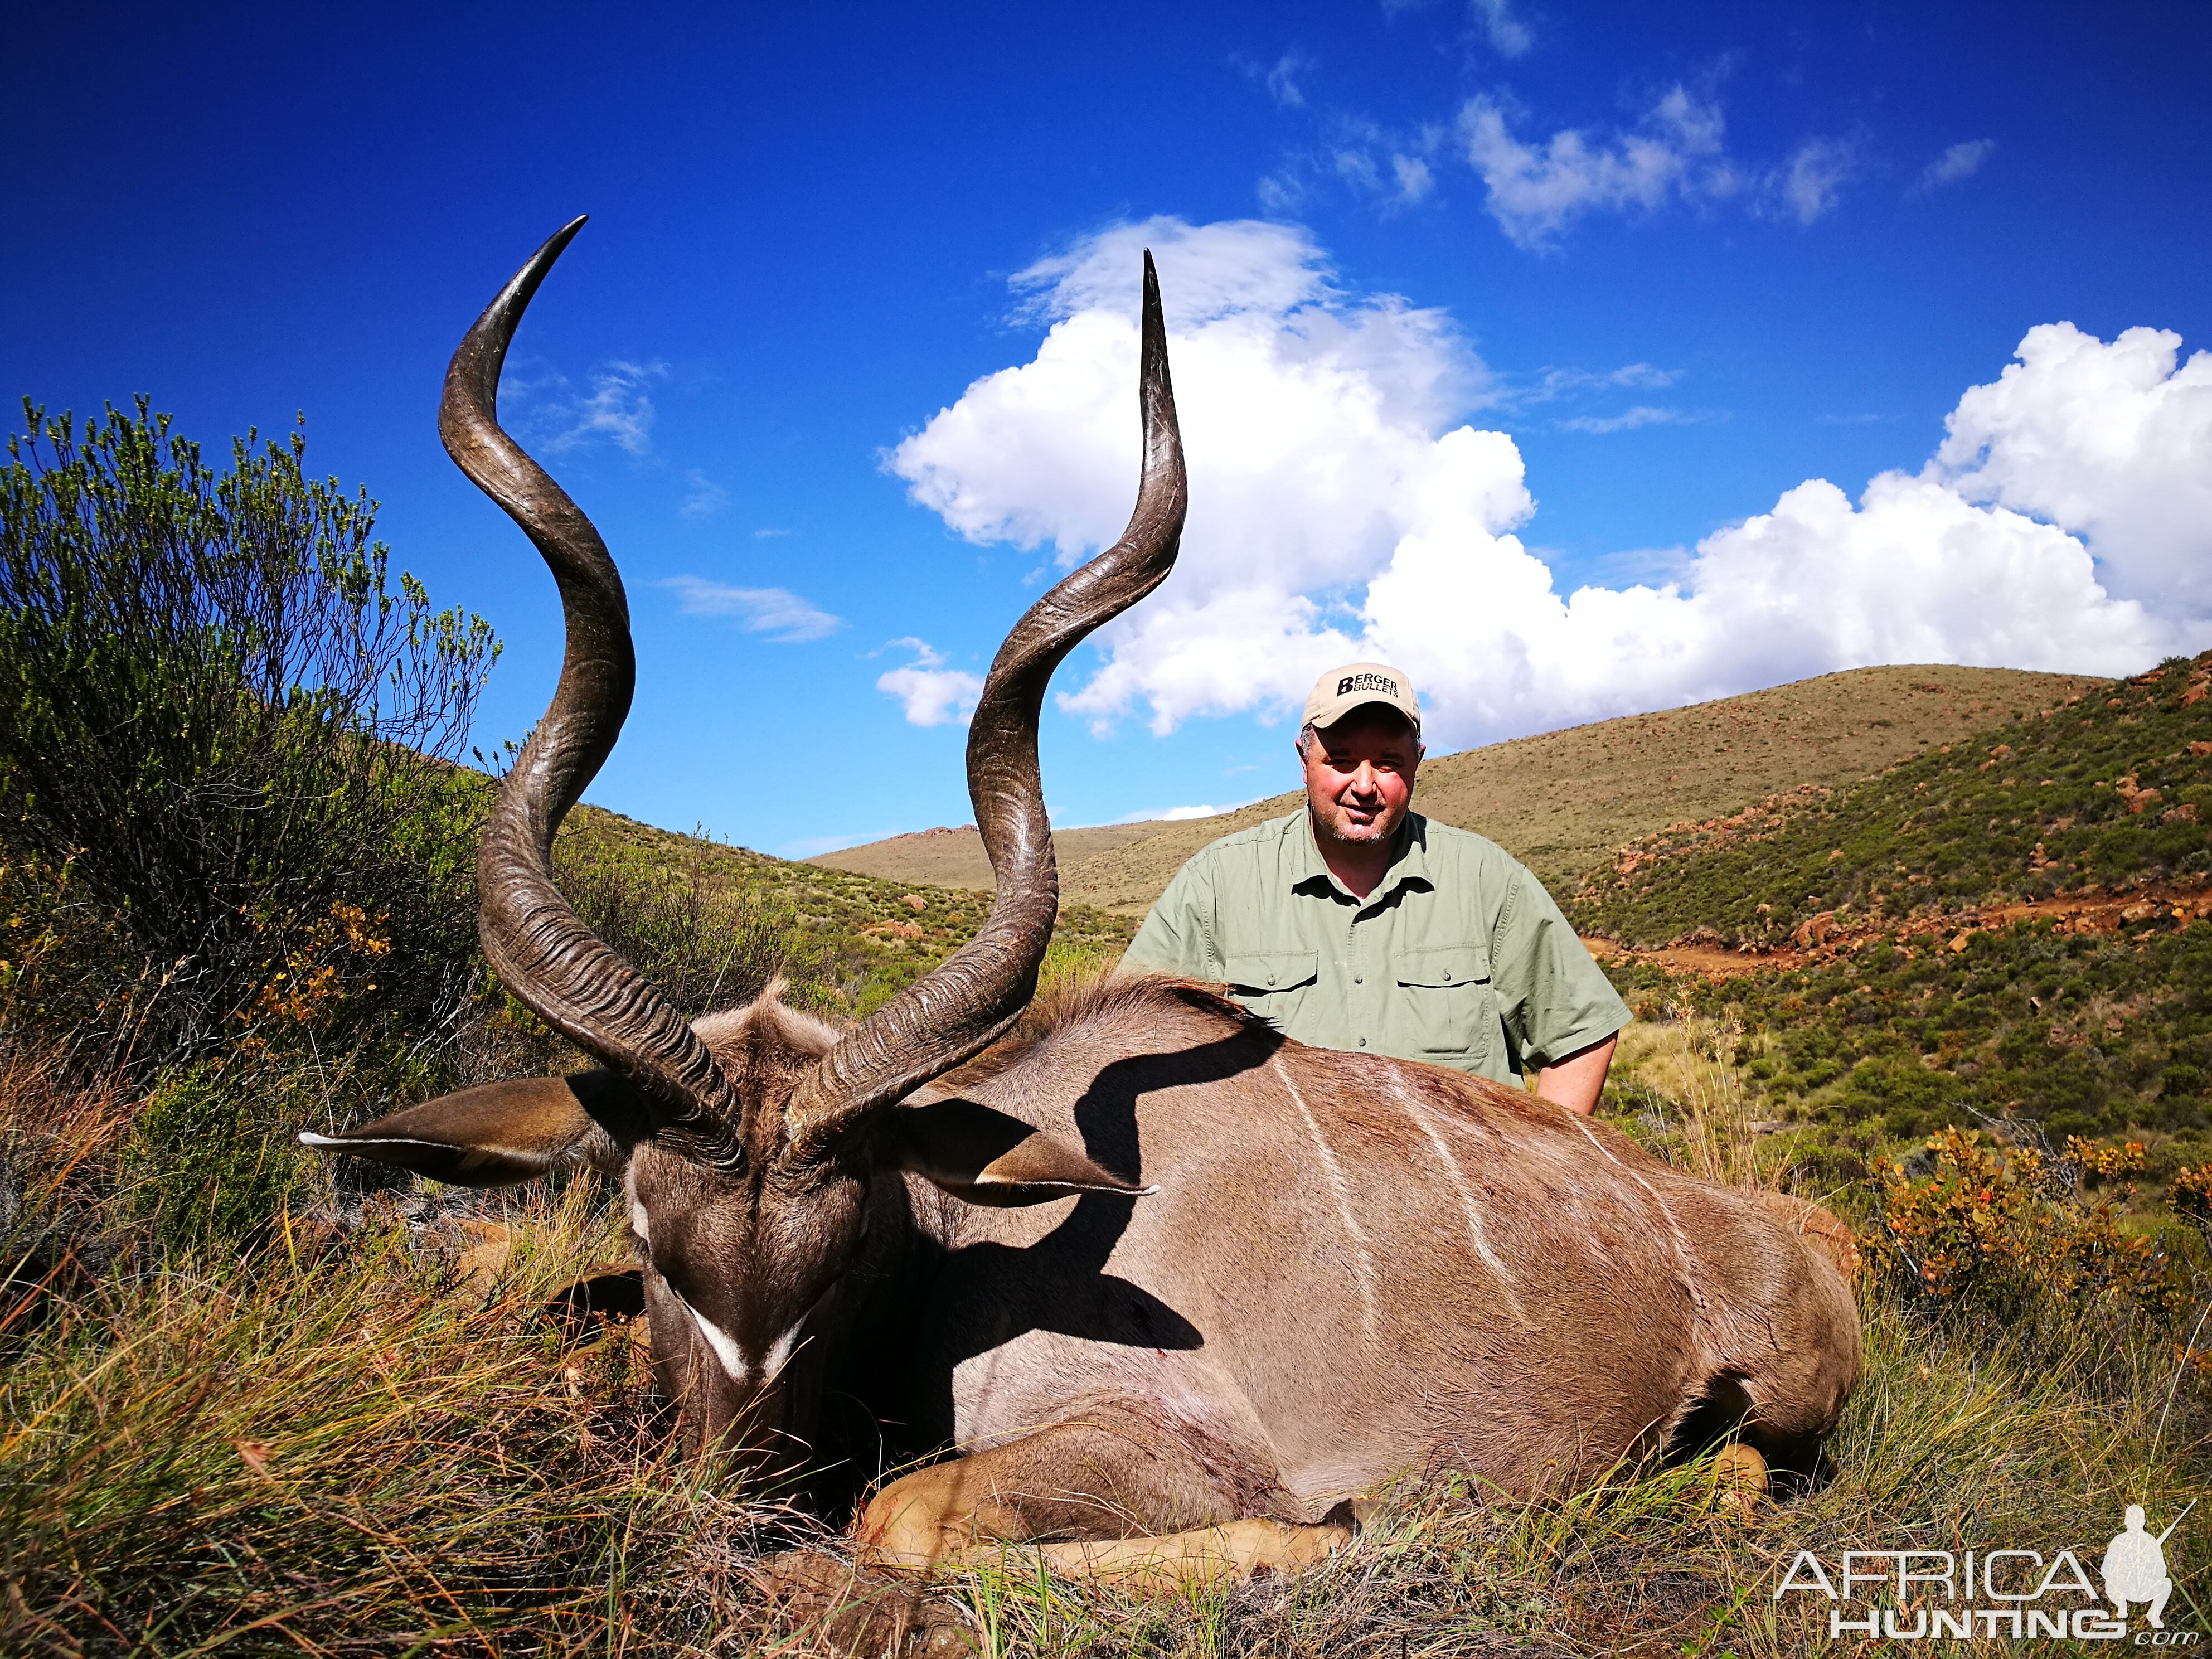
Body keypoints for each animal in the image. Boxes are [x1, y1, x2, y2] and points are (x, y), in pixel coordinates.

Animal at [307, 221, 1866, 1584]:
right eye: (644, 1240)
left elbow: (907, 1516)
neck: (975, 1257)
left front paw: (1326, 1534)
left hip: (1779, 1404)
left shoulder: (1163, 1447)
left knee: (1741, 1473)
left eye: (854, 1253)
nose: (733, 1509)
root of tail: (1788, 1242)